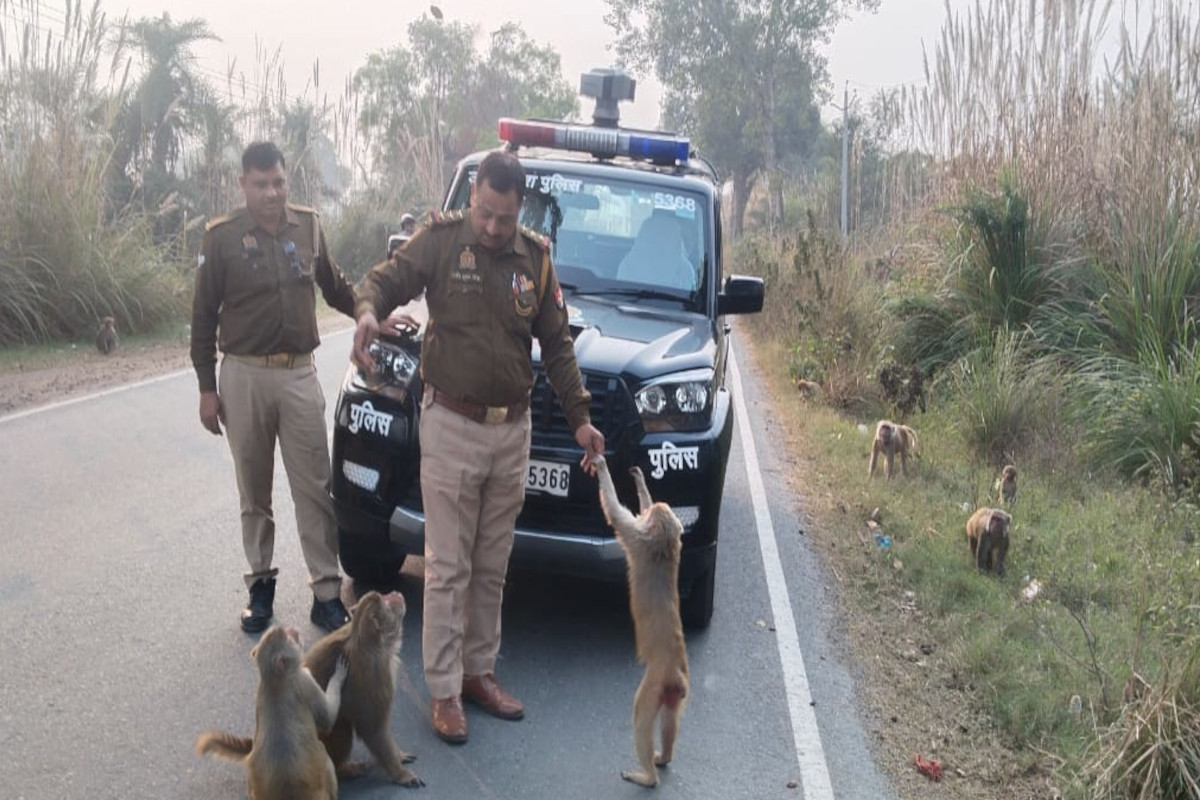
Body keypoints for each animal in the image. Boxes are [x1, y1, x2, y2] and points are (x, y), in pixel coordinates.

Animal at [192, 623, 350, 800]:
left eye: (283, 631)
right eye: (286, 635)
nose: (292, 629)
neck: (273, 678)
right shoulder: (303, 679)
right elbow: (327, 720)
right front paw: (338, 676)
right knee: (325, 756)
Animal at [302, 587, 424, 786]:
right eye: (386, 599)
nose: (395, 592)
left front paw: (398, 756)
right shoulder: (374, 672)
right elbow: (373, 728)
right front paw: (400, 773)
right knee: (342, 727)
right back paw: (342, 768)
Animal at [592, 455, 691, 786]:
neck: (665, 548)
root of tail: (675, 675)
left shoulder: (638, 538)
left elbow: (615, 512)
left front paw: (601, 466)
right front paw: (640, 481)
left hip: (656, 684)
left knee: (641, 717)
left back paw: (647, 776)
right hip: (675, 692)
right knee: (670, 719)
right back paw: (664, 757)